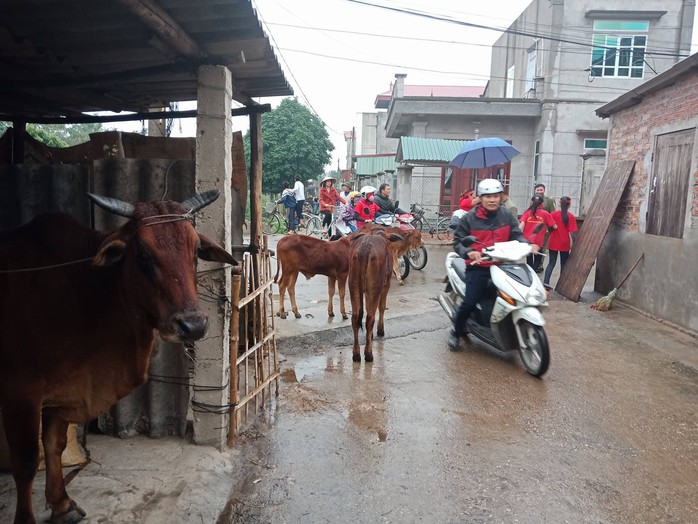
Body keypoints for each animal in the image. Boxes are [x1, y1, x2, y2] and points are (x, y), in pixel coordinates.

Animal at [0, 191, 237, 524]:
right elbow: (25, 463)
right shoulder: (21, 393)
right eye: (143, 254)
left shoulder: (63, 391)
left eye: (195, 251)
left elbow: (54, 445)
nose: (193, 325)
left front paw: (61, 504)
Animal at [346, 231, 400, 362]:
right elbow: (382, 307)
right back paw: (369, 354)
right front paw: (380, 330)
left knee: (355, 318)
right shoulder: (386, 285)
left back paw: (356, 354)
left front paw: (369, 336)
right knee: (370, 317)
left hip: (353, 287)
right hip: (375, 288)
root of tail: (365, 249)